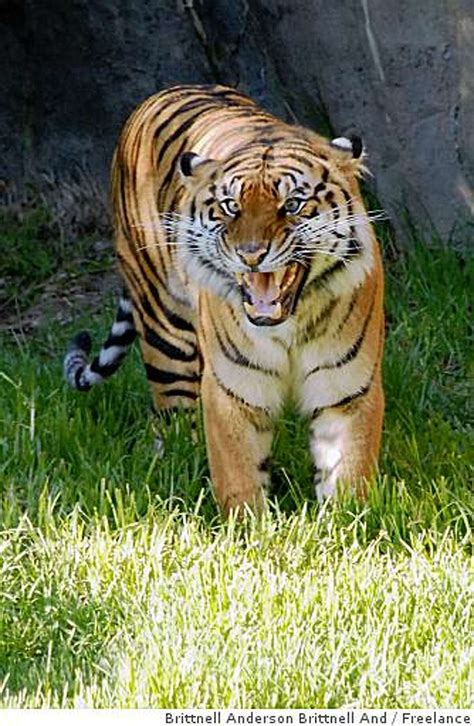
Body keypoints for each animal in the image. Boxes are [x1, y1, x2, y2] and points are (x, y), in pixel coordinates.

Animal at [63, 84, 385, 516]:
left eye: (293, 205)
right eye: (232, 206)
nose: (251, 253)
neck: (289, 325)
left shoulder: (347, 389)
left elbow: (348, 472)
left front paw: (347, 522)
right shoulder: (233, 390)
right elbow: (238, 473)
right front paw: (251, 527)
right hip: (166, 332)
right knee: (172, 420)